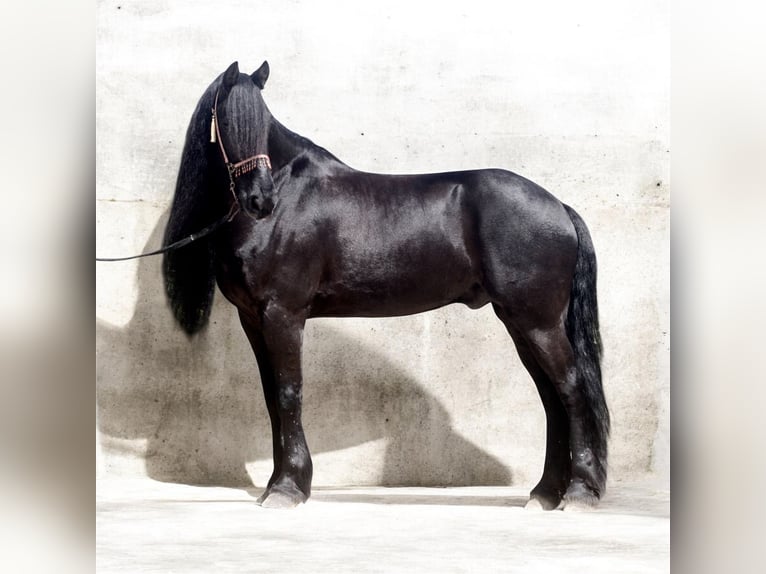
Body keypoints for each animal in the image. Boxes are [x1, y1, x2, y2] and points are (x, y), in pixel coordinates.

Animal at [162, 61, 609, 510]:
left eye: (261, 122)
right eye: (227, 121)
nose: (259, 200)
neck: (287, 197)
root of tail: (559, 207)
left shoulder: (283, 314)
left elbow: (289, 393)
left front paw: (287, 489)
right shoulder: (252, 319)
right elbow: (273, 399)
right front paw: (279, 484)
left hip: (537, 322)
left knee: (571, 390)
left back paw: (579, 493)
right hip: (521, 322)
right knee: (552, 398)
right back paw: (545, 493)